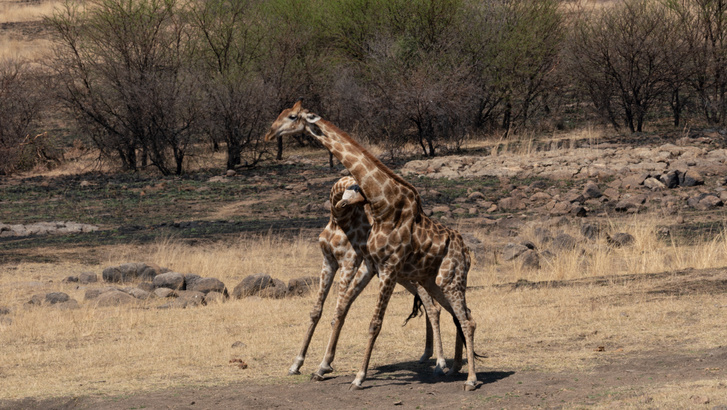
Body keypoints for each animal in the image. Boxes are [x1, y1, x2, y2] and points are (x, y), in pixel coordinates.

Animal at [289, 176, 452, 377]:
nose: (342, 204)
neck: (337, 222)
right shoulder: (328, 261)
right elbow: (315, 311)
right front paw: (296, 363)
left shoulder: (349, 261)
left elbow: (338, 313)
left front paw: (324, 365)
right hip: (404, 277)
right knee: (431, 306)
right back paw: (427, 354)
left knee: (432, 307)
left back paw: (440, 362)